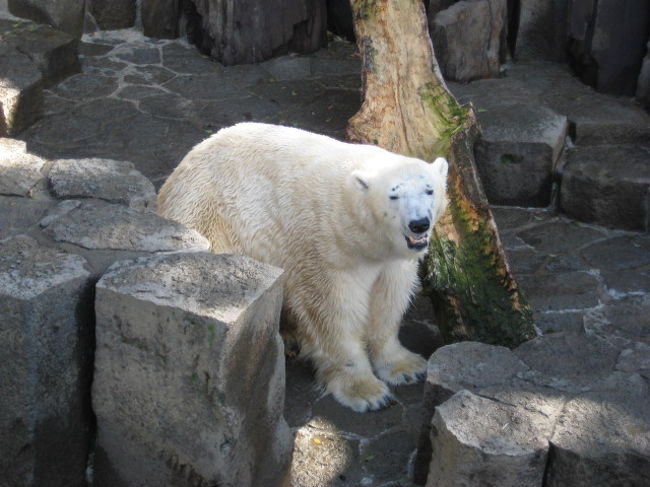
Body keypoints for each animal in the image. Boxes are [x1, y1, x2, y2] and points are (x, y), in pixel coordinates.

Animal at [159, 122, 448, 412]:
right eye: (394, 195)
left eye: (429, 190)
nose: (419, 224)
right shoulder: (326, 248)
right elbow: (333, 311)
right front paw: (365, 391)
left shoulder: (391, 260)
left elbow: (388, 300)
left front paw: (407, 366)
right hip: (209, 213)